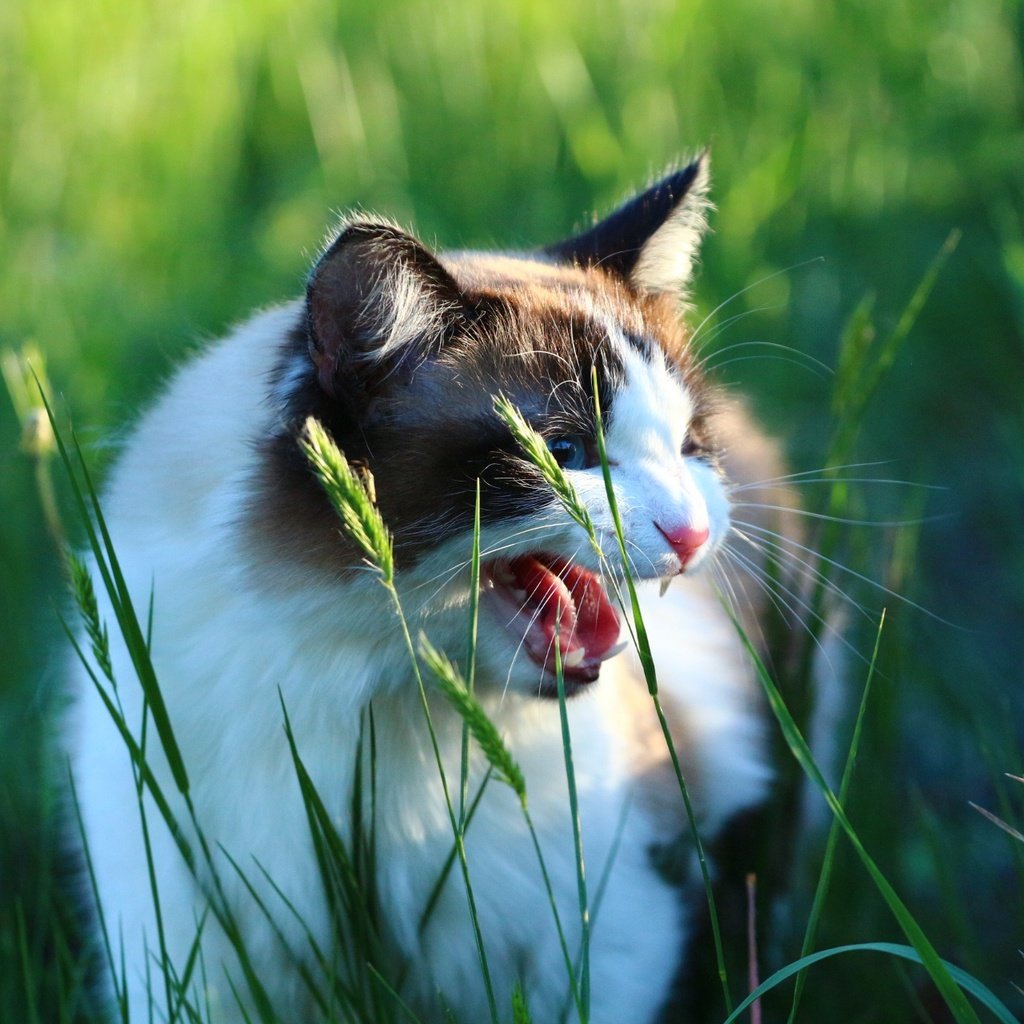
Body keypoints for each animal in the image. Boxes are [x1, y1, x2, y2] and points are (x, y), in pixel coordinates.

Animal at [68, 153, 778, 1024]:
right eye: (565, 453)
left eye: (687, 449)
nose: (693, 534)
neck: (376, 690)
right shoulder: (179, 931)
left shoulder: (604, 931)